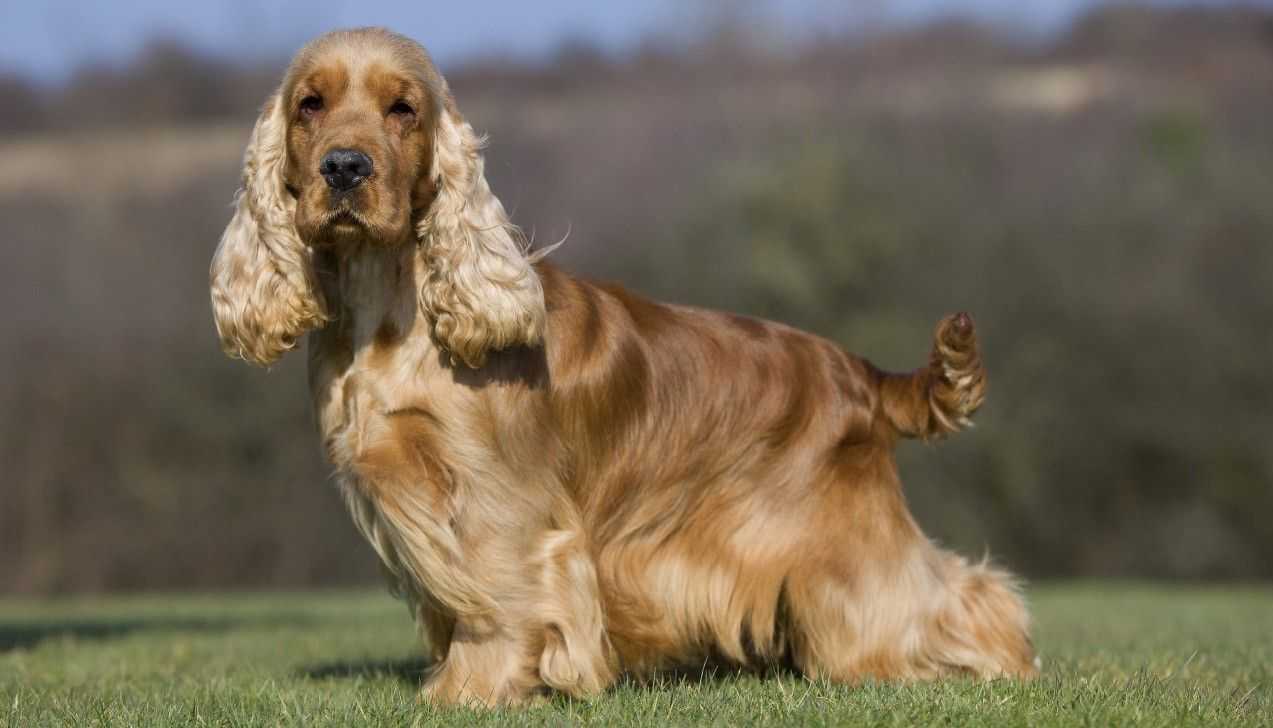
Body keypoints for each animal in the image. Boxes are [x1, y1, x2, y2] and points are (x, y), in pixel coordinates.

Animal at [208, 27, 1038, 707]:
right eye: (309, 104)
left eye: (403, 108)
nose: (343, 169)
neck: (390, 309)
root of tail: (859, 372)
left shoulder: (493, 498)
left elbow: (497, 601)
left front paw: (470, 691)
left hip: (847, 545)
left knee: (946, 597)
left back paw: (1005, 662)